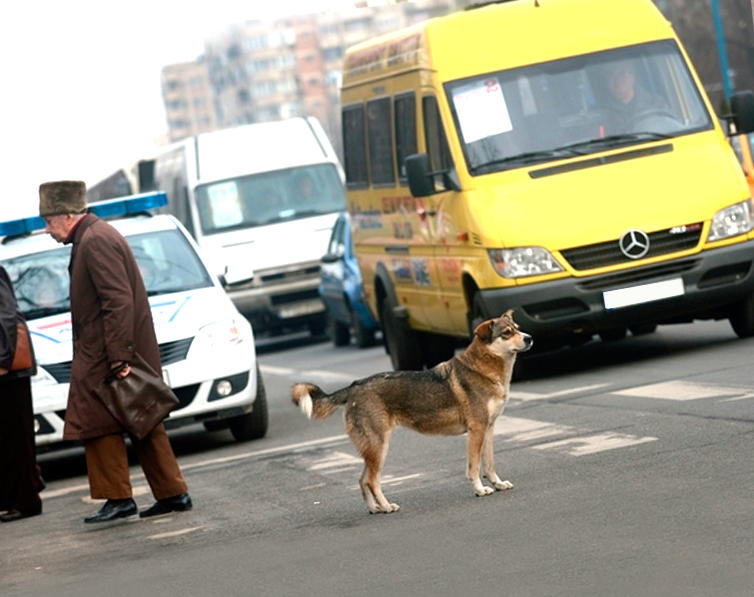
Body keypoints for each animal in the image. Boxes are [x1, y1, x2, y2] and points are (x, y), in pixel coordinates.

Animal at [290, 310, 532, 510]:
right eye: (507, 333)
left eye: (518, 327)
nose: (529, 338)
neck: (483, 369)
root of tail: (354, 386)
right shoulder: (476, 431)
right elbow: (474, 468)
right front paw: (480, 490)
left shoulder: (488, 429)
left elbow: (489, 465)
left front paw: (498, 484)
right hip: (379, 447)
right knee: (371, 481)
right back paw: (387, 507)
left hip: (372, 450)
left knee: (362, 480)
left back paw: (375, 509)